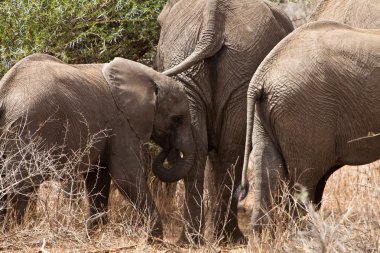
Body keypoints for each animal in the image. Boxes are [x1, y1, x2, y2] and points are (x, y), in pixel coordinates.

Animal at [0, 53, 196, 241]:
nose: (168, 147)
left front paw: (90, 238)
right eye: (177, 119)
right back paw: (15, 230)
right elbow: (125, 176)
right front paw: (155, 241)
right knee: (21, 185)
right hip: (29, 128)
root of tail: (5, 91)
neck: (151, 76)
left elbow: (98, 178)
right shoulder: (121, 123)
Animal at [154, 0, 294, 244]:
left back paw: (203, 239)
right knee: (223, 150)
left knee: (213, 150)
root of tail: (213, 22)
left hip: (228, 67)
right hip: (209, 65)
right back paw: (216, 238)